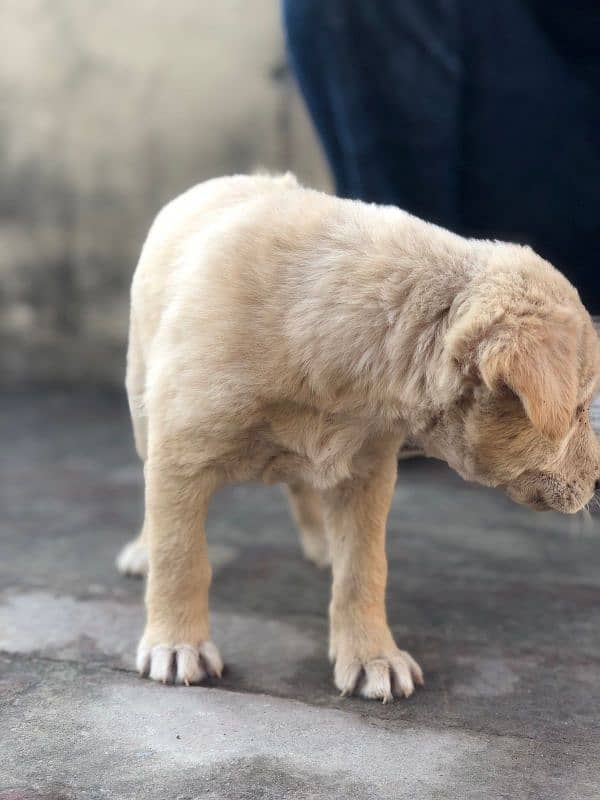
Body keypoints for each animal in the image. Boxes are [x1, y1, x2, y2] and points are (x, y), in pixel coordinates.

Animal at [117, 173, 600, 700]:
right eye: (579, 410)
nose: (599, 481)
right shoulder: (179, 455)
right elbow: (180, 556)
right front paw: (176, 643)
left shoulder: (366, 472)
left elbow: (363, 570)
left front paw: (372, 657)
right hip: (142, 404)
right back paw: (142, 551)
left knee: (303, 486)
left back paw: (322, 543)